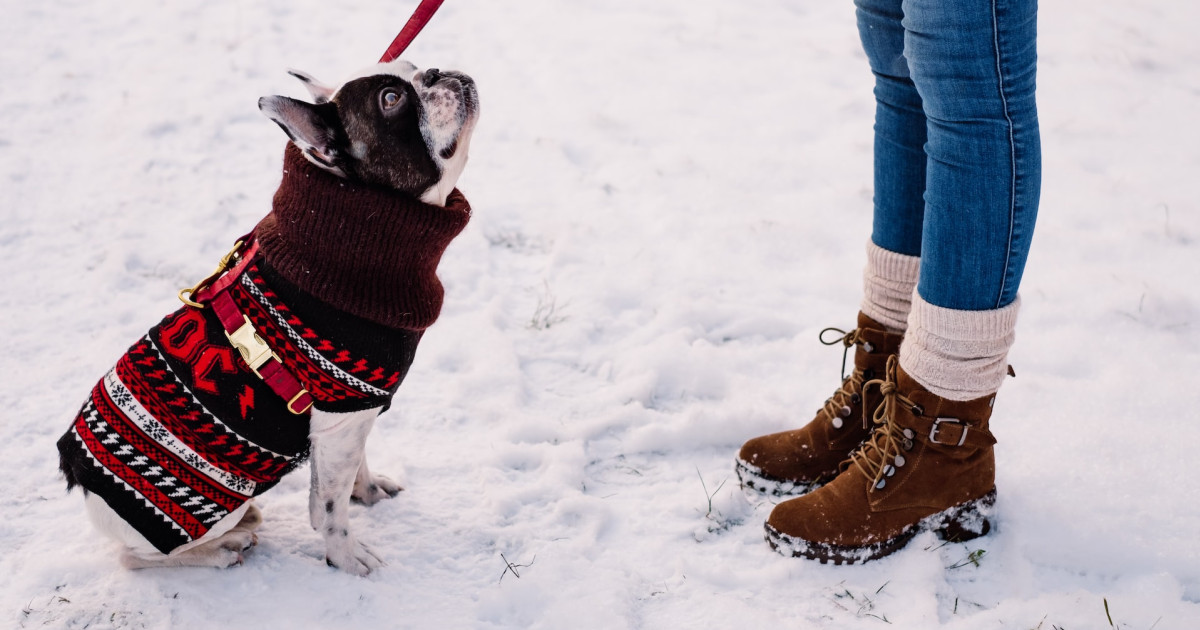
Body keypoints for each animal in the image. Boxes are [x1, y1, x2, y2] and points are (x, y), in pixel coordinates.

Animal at [56, 60, 477, 573]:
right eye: (392, 99)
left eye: (415, 69)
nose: (436, 71)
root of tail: (76, 473)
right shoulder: (340, 418)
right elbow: (329, 506)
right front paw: (345, 556)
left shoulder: (350, 419)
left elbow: (352, 469)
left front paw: (368, 492)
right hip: (205, 510)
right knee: (133, 558)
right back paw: (225, 548)